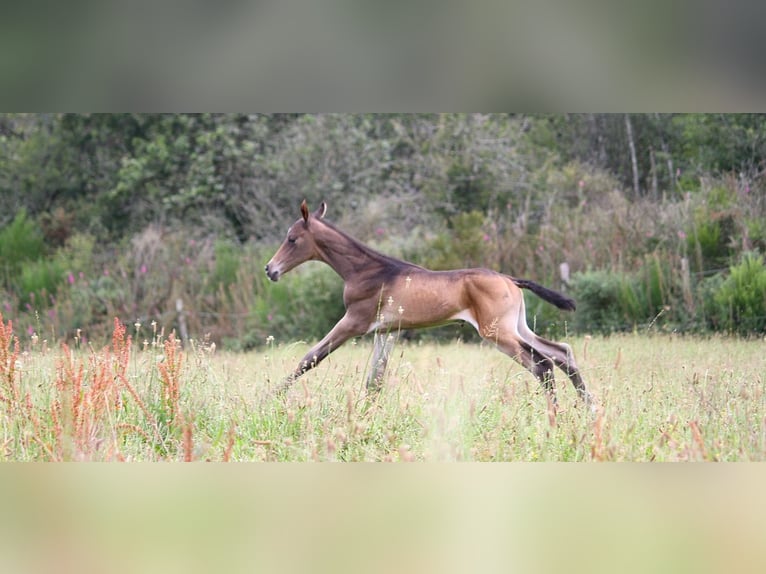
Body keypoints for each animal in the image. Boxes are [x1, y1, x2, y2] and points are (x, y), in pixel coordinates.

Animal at [264, 202, 592, 410]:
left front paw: (268, 398)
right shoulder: (386, 331)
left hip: (497, 332)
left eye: (292, 238)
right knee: (561, 353)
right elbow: (375, 379)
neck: (366, 271)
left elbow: (310, 358)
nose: (270, 270)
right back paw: (588, 410)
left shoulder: (353, 322)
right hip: (518, 326)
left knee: (542, 364)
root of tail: (510, 279)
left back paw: (556, 416)